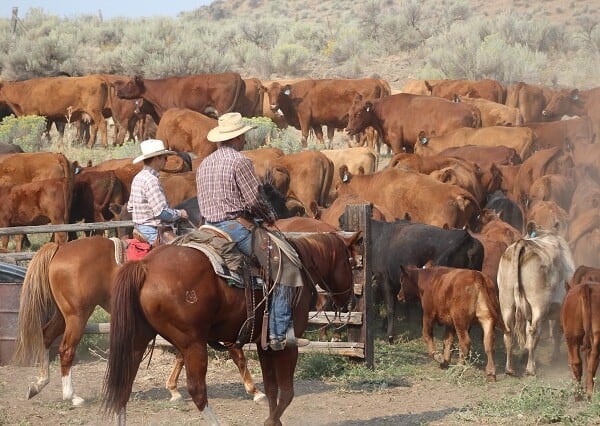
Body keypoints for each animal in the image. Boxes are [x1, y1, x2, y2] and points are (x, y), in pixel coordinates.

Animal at [10, 236, 264, 406]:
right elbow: (238, 356)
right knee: (66, 350)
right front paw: (255, 391)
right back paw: (71, 396)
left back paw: (38, 384)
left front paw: (173, 390)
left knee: (45, 337)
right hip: (77, 316)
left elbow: (182, 356)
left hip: (64, 315)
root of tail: (61, 248)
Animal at [102, 231, 360, 426]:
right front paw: (270, 421)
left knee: (123, 386)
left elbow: (272, 388)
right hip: (193, 343)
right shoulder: (287, 344)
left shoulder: (264, 345)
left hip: (137, 340)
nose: (350, 300)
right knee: (197, 390)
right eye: (352, 264)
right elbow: (287, 392)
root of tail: (145, 266)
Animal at [344, 93, 480, 155]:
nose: (348, 130)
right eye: (349, 113)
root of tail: (470, 109)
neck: (383, 110)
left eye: (358, 114)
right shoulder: (409, 144)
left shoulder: (396, 142)